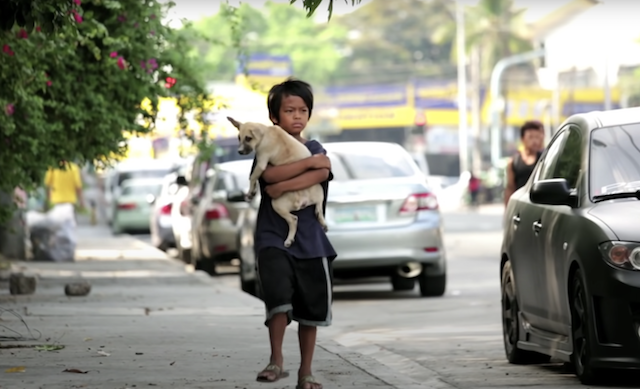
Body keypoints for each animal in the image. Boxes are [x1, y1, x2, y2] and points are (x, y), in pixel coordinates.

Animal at [226, 116, 328, 247]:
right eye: (239, 138)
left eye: (248, 138)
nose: (239, 151)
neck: (266, 132)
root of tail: (301, 201)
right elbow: (254, 178)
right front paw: (253, 191)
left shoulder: (261, 163)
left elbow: (252, 177)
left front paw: (249, 193)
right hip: (318, 191)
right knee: (319, 209)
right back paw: (322, 221)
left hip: (276, 204)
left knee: (294, 220)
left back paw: (289, 240)